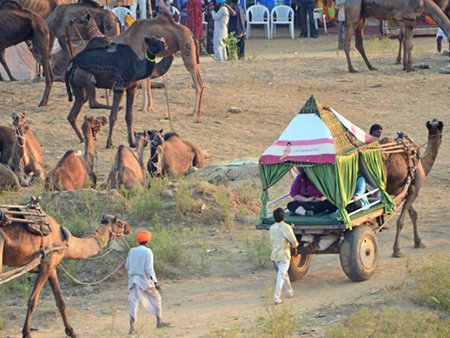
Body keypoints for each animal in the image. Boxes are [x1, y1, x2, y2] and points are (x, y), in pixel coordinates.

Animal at [0, 211, 131, 338]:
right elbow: (33, 300)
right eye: (119, 222)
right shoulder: (47, 263)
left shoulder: (51, 267)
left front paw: (72, 332)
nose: (128, 227)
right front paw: (26, 333)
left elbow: (61, 302)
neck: (66, 242)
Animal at [382, 118, 444, 256]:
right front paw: (397, 250)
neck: (422, 164)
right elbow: (401, 221)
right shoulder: (414, 190)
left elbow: (413, 214)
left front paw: (418, 242)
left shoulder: (405, 190)